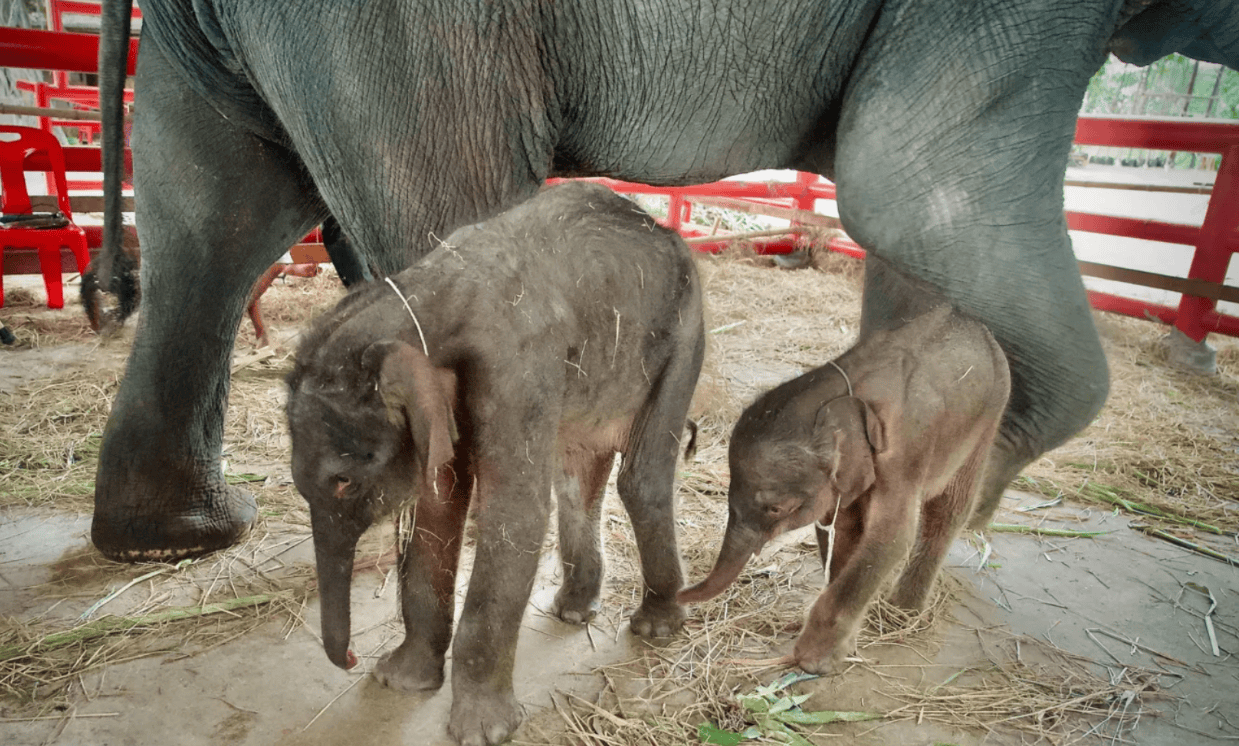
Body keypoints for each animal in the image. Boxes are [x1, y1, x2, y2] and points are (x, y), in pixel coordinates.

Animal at [283, 180, 703, 743]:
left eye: (345, 481)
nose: (350, 660)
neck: (422, 297)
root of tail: (664, 230)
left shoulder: (517, 367)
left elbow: (514, 515)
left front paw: (483, 732)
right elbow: (437, 510)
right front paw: (399, 682)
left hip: (685, 334)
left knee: (641, 476)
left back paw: (654, 626)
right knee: (576, 474)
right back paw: (573, 610)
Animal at [683, 292, 1011, 674]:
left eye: (776, 508)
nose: (675, 598)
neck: (847, 391)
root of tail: (975, 322)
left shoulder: (904, 455)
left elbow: (891, 537)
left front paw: (813, 662)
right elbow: (842, 528)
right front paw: (844, 647)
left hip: (989, 418)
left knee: (949, 509)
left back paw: (903, 613)